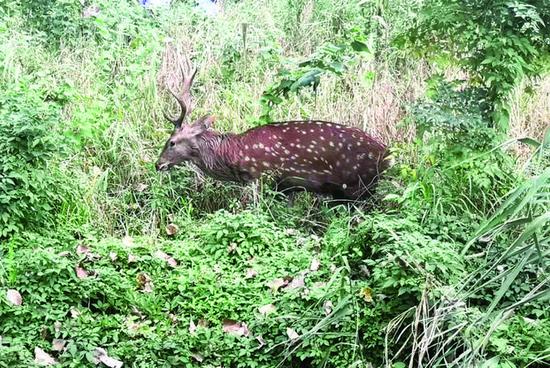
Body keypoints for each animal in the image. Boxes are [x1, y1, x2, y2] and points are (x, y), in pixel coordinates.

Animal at [155, 56, 388, 200]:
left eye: (171, 142)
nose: (158, 164)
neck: (234, 154)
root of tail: (387, 153)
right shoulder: (287, 187)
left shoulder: (261, 177)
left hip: (358, 185)